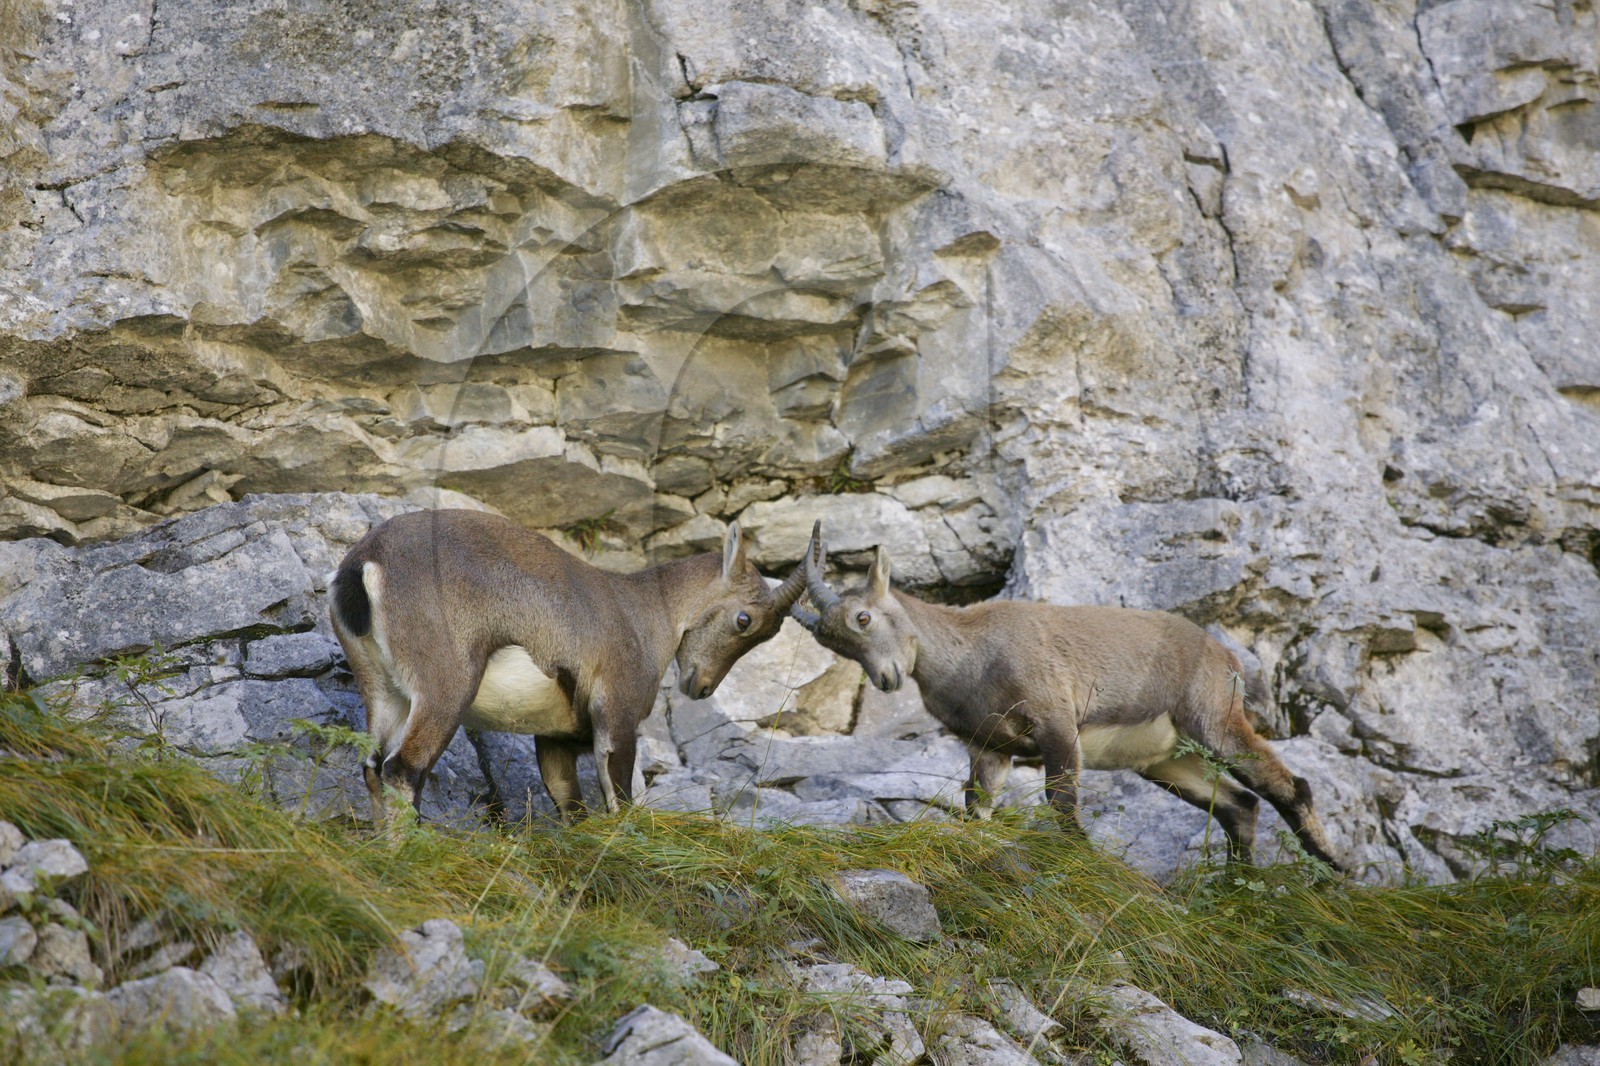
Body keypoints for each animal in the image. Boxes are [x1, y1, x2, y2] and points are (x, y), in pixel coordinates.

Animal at [328, 509, 814, 825]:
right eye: (744, 620)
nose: (703, 686)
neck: (644, 612)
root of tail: (365, 564)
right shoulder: (616, 715)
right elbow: (618, 795)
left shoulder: (555, 737)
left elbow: (570, 805)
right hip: (444, 688)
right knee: (402, 770)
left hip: (383, 690)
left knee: (373, 767)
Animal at [791, 531, 1343, 869]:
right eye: (834, 644)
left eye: (863, 618)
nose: (885, 678)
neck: (970, 654)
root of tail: (1225, 657)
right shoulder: (990, 747)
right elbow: (977, 807)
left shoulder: (1056, 723)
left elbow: (1061, 804)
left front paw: (1083, 861)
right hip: (1165, 760)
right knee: (1239, 804)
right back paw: (1236, 886)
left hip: (1213, 722)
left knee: (1288, 785)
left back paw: (1330, 863)